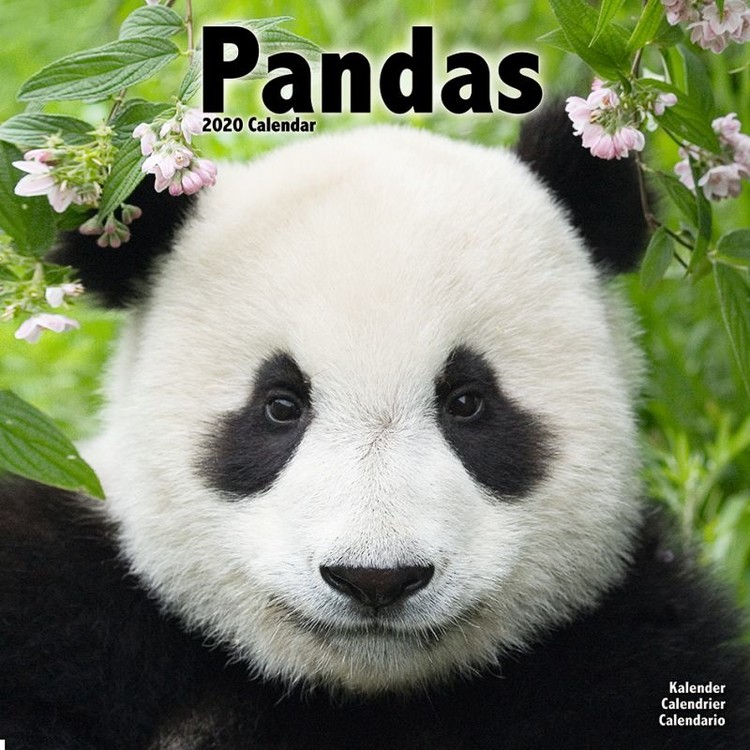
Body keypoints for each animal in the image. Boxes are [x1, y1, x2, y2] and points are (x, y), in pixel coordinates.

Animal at [1, 106, 748, 750]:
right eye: (280, 406)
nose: (376, 579)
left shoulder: (630, 644)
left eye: (467, 402)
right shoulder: (69, 614)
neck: (359, 693)